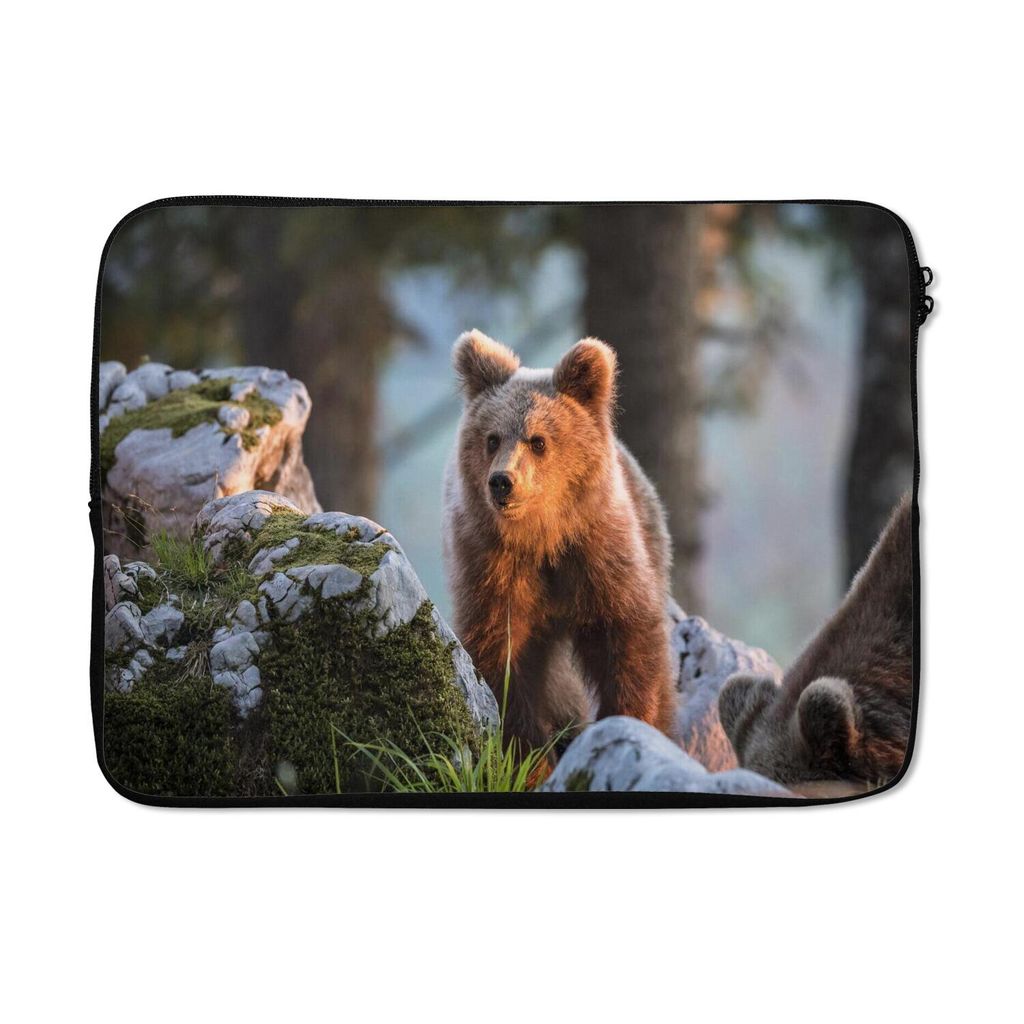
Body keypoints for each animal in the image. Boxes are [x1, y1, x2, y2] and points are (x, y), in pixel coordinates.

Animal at [442, 329, 677, 754]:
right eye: (492, 438)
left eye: (538, 441)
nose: (502, 481)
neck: (543, 537)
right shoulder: (491, 567)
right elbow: (501, 656)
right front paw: (531, 749)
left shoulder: (598, 552)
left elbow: (629, 634)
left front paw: (631, 718)